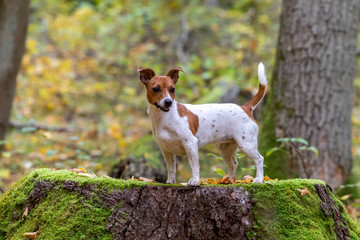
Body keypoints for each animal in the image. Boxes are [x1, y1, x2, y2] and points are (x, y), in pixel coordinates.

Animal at [138, 62, 268, 187]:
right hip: (226, 149)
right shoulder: (166, 150)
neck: (165, 117)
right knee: (233, 164)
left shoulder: (190, 144)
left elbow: (194, 166)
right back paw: (228, 181)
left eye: (172, 89)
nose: (168, 102)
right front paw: (170, 181)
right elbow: (170, 168)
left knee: (259, 159)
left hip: (246, 144)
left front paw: (195, 181)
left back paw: (258, 179)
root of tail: (245, 108)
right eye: (155, 89)